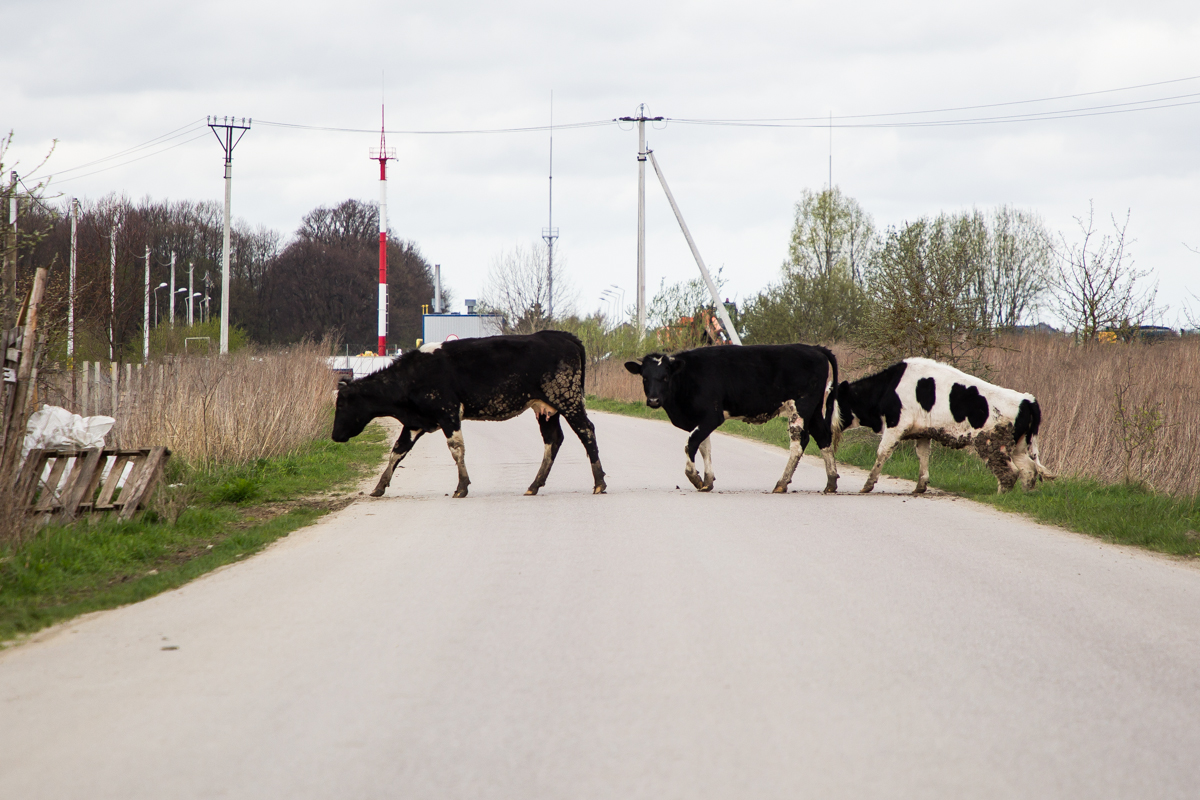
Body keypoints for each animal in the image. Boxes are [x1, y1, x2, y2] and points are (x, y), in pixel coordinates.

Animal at [331, 328, 604, 496]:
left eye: (341, 404)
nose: (334, 435)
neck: (411, 377)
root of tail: (561, 336)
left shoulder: (448, 413)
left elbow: (456, 449)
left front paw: (461, 487)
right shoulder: (415, 421)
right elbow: (397, 451)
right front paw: (379, 486)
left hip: (567, 398)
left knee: (586, 430)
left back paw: (599, 482)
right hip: (546, 408)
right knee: (553, 440)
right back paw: (534, 485)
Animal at [624, 345, 840, 494]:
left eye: (665, 377)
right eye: (644, 377)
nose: (653, 400)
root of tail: (814, 348)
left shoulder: (712, 416)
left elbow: (690, 444)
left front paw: (695, 477)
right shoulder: (700, 419)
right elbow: (705, 447)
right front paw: (707, 481)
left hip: (801, 407)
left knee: (799, 443)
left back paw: (781, 483)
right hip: (814, 411)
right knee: (823, 437)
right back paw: (830, 482)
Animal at [830, 357, 1056, 494]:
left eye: (834, 401)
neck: (888, 387)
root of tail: (1027, 399)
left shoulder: (896, 426)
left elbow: (882, 453)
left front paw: (867, 485)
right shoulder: (922, 432)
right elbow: (923, 456)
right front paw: (920, 487)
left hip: (992, 443)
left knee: (1011, 472)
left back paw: (1000, 497)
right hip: (1018, 445)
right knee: (1029, 470)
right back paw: (1023, 496)